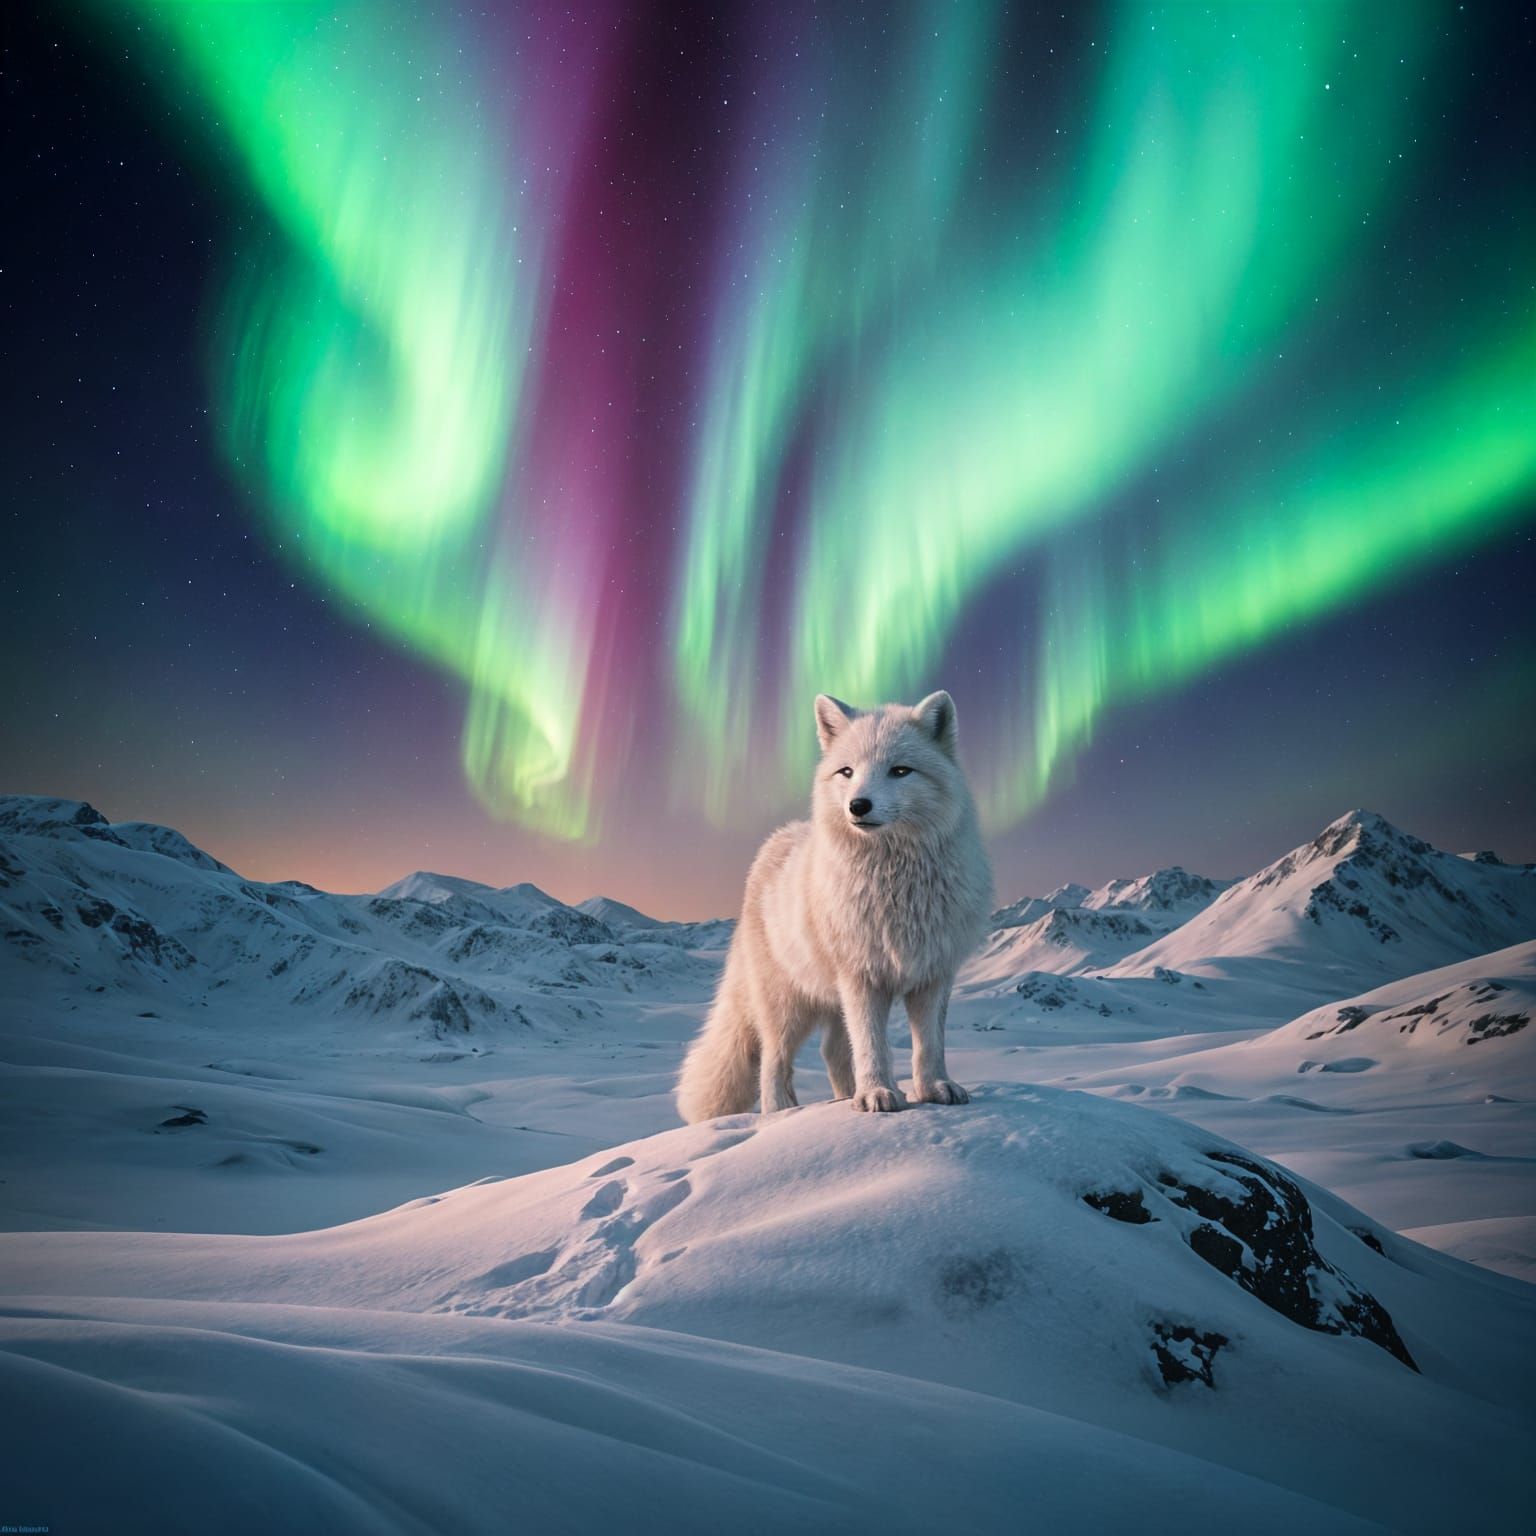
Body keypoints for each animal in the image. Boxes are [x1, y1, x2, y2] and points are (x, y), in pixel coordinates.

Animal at [676, 690, 993, 1120]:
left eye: (900, 771)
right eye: (846, 772)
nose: (858, 805)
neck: (896, 885)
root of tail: (777, 840)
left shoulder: (933, 973)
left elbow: (928, 1046)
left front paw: (933, 1088)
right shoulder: (860, 975)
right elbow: (872, 1046)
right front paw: (878, 1094)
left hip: (831, 1002)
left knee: (832, 1052)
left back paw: (845, 1098)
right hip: (787, 1006)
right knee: (772, 1062)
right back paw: (780, 1113)